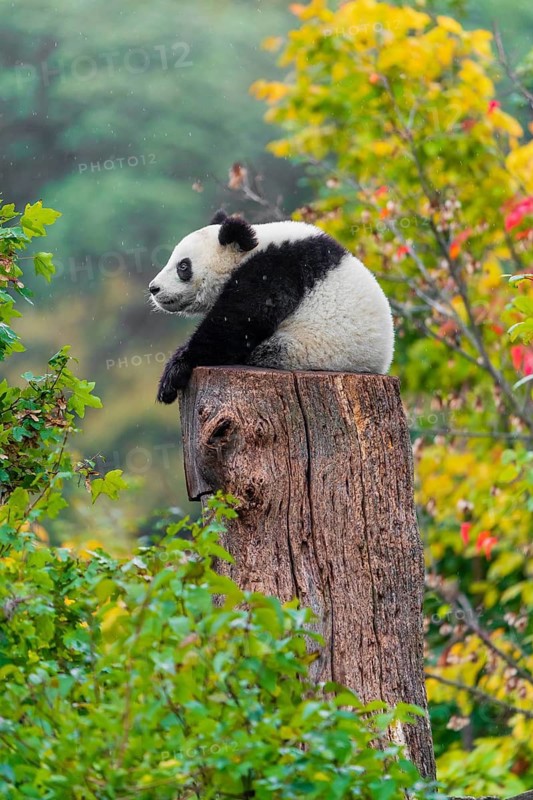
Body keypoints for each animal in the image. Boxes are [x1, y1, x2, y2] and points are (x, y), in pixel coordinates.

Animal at [149, 210, 394, 404]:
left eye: (183, 266)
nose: (154, 288)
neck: (251, 250)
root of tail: (379, 364)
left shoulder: (274, 271)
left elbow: (239, 322)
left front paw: (173, 374)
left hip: (308, 350)